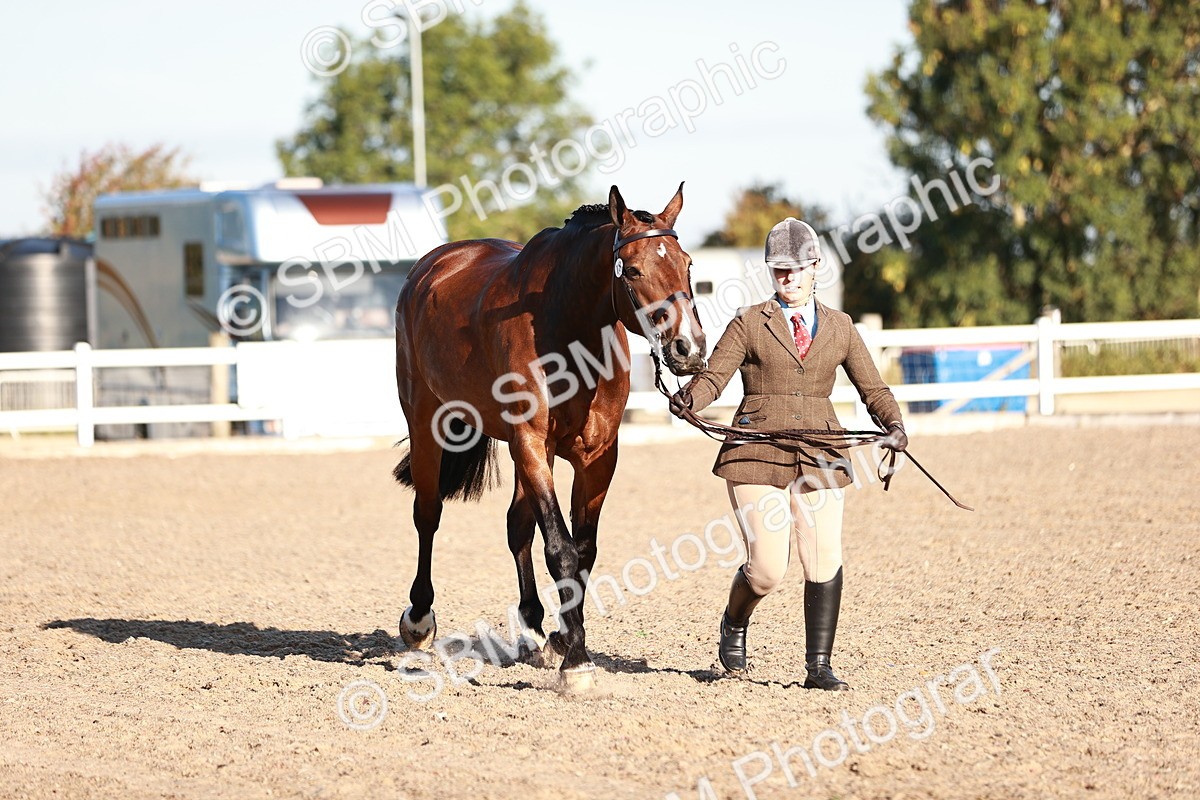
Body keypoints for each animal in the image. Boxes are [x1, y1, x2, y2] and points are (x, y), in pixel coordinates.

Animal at [391, 183, 707, 690]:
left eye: (688, 264)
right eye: (633, 268)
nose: (689, 348)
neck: (566, 332)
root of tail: (433, 266)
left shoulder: (597, 456)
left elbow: (583, 551)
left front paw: (564, 637)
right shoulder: (532, 445)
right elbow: (560, 549)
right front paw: (576, 662)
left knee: (516, 527)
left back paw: (533, 629)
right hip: (426, 423)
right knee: (428, 513)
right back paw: (419, 619)